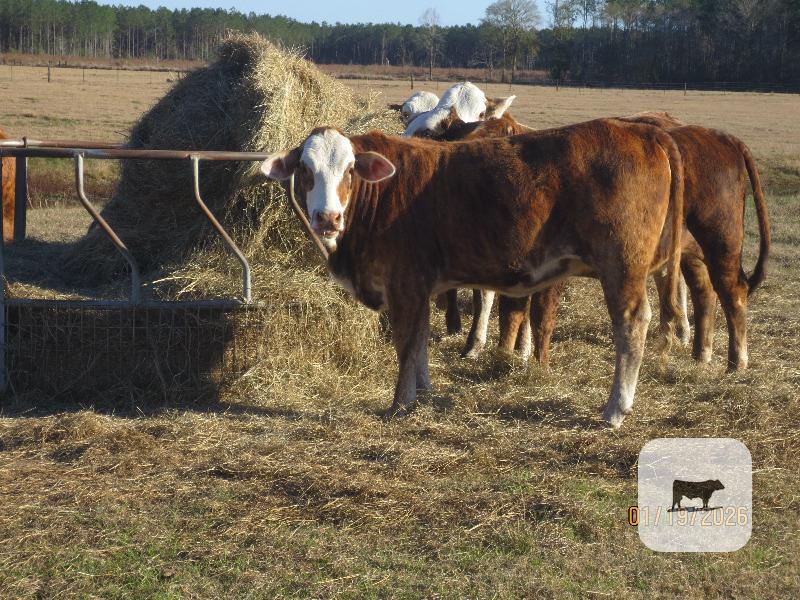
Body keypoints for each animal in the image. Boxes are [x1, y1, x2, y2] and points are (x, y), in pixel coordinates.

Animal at [260, 119, 685, 428]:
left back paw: (615, 409)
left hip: (622, 266)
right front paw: (424, 394)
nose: (327, 217)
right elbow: (420, 342)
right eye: (305, 168)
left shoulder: (404, 283)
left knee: (632, 324)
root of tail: (639, 129)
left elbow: (406, 344)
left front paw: (400, 404)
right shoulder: (421, 286)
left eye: (350, 169)